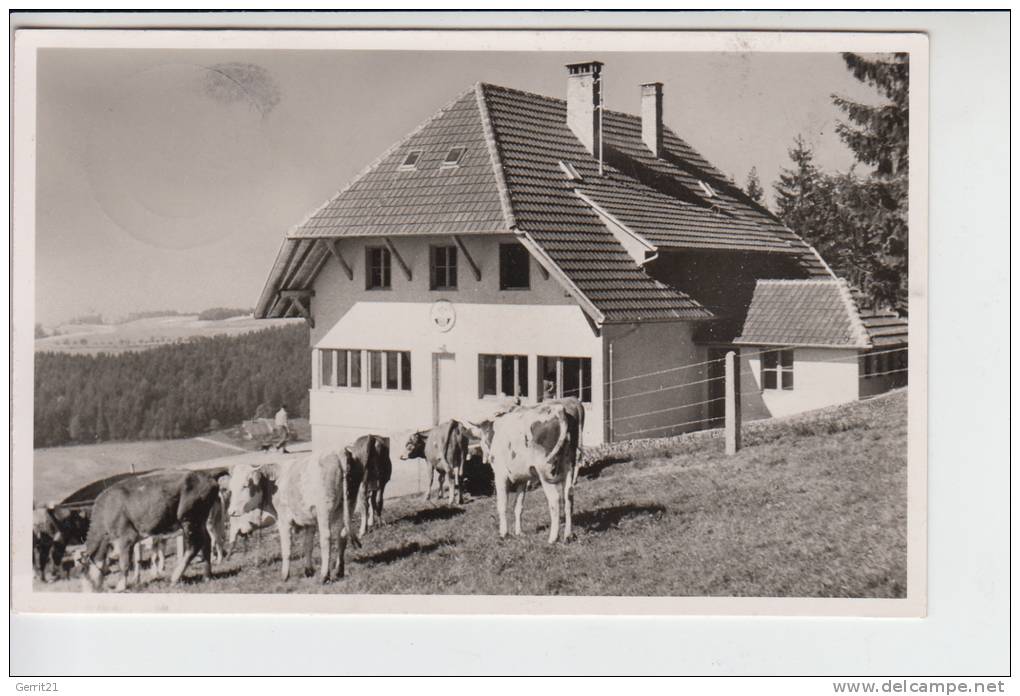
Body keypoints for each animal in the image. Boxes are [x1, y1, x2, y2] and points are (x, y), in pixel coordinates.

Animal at [80, 465, 222, 591]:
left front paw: (120, 587)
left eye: (84, 570)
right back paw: (207, 576)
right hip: (200, 520)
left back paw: (174, 578)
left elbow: (124, 563)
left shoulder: (126, 537)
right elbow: (137, 560)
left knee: (195, 545)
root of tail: (205, 474)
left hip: (189, 518)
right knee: (207, 541)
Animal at [225, 449, 361, 579]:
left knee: (326, 538)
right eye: (231, 488)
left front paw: (285, 575)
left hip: (324, 510)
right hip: (348, 505)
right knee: (342, 536)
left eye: (245, 486)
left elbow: (287, 548)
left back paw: (324, 576)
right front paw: (308, 571)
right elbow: (308, 545)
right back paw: (339, 571)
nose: (231, 512)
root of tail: (339, 452)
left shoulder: (284, 520)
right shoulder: (309, 520)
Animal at [483, 402, 579, 542]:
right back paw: (568, 535)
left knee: (554, 499)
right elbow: (518, 506)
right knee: (569, 497)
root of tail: (558, 409)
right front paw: (519, 532)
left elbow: (502, 505)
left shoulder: (500, 475)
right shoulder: (523, 478)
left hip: (545, 471)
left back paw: (553, 538)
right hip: (569, 467)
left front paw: (504, 533)